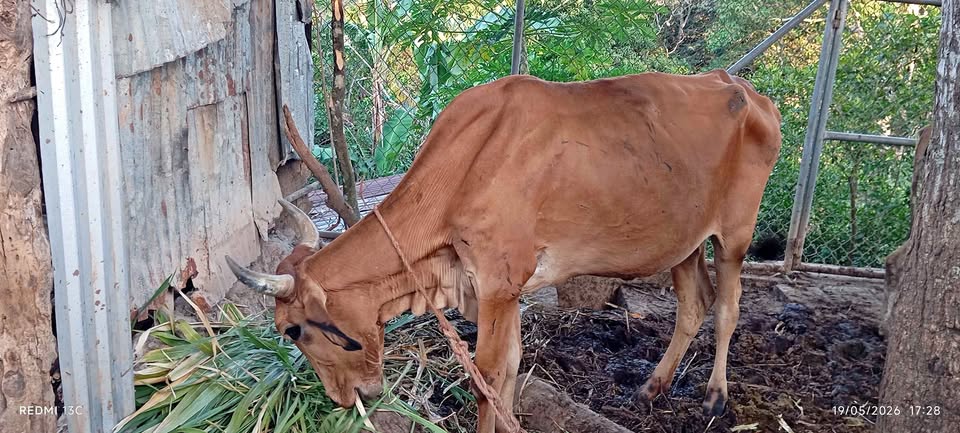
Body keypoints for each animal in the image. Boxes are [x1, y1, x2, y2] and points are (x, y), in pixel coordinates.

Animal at [226, 69, 782, 433]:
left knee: (728, 308)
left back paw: (714, 397)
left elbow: (487, 377)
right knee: (693, 304)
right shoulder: (503, 290)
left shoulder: (497, 284)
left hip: (734, 234)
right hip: (684, 243)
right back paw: (651, 387)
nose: (347, 399)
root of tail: (747, 91)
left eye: (292, 330)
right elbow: (510, 370)